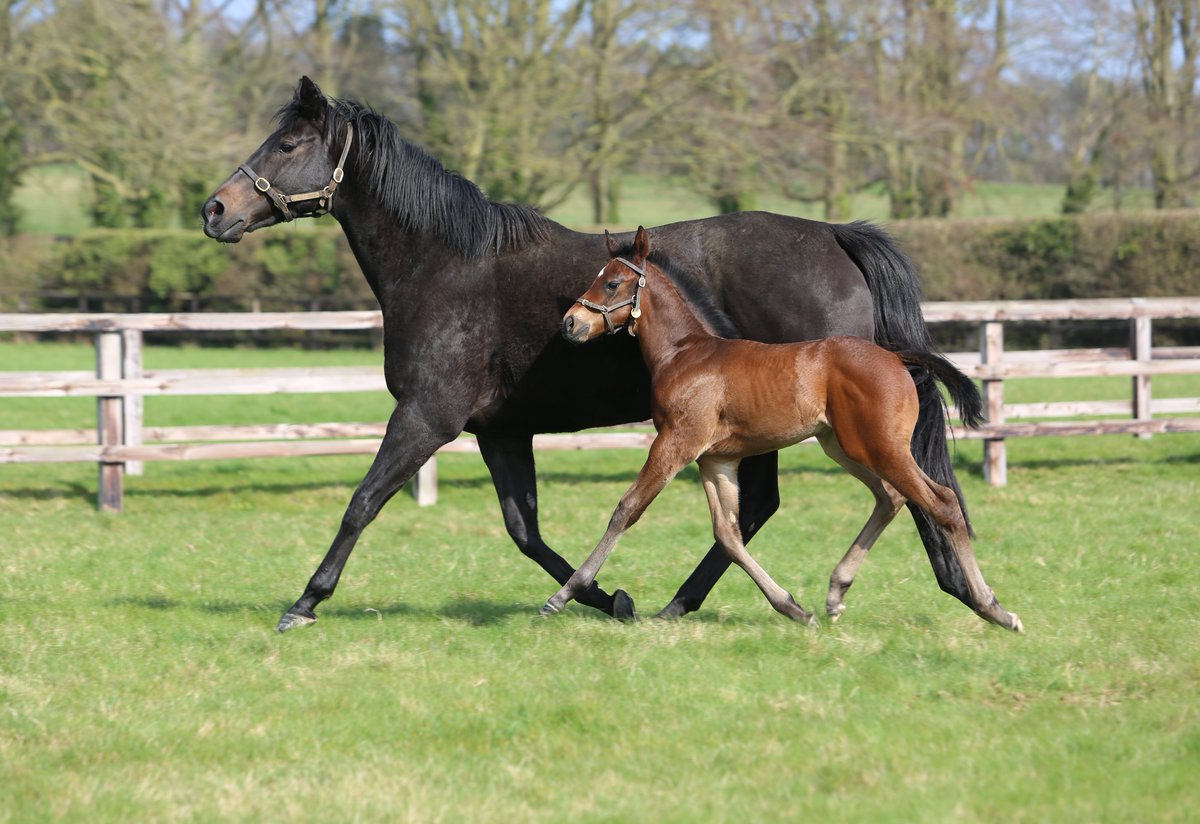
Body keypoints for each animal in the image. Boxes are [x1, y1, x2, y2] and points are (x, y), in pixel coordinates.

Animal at [544, 225, 1022, 633]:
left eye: (611, 283)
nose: (570, 323)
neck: (686, 353)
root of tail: (896, 357)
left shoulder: (674, 445)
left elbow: (626, 509)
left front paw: (563, 595)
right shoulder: (716, 460)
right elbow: (728, 535)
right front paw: (793, 607)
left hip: (880, 447)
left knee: (941, 502)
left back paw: (993, 608)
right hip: (843, 447)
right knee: (891, 497)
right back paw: (836, 593)